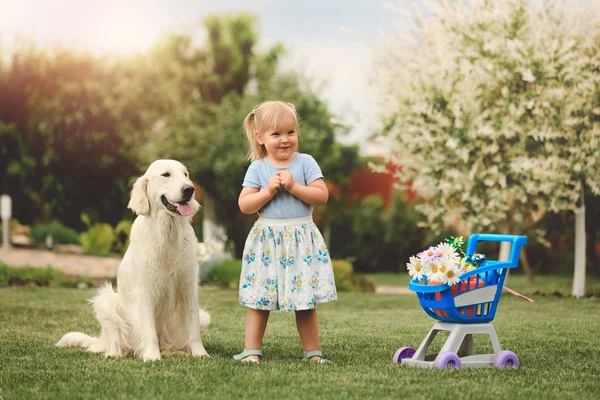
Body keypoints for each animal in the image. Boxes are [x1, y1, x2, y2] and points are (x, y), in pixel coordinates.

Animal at [56, 160, 211, 362]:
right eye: (166, 175)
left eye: (185, 175)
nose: (189, 189)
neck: (167, 232)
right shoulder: (145, 291)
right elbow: (149, 331)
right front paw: (152, 356)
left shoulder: (188, 287)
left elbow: (193, 329)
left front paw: (200, 353)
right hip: (105, 302)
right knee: (117, 341)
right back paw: (114, 353)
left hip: (204, 315)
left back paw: (175, 351)